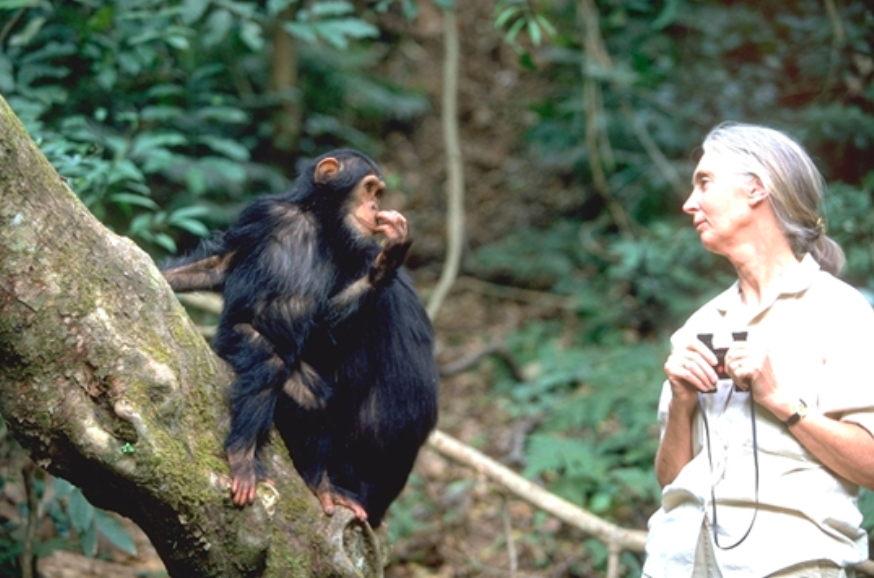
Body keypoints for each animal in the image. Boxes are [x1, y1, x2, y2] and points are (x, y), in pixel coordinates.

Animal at [158, 150, 436, 528]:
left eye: (379, 194)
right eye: (369, 189)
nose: (376, 208)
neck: (317, 221)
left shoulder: (347, 258)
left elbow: (326, 320)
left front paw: (388, 258)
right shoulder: (262, 214)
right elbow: (221, 261)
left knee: (317, 400)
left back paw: (319, 483)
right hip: (235, 338)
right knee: (268, 364)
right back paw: (242, 454)